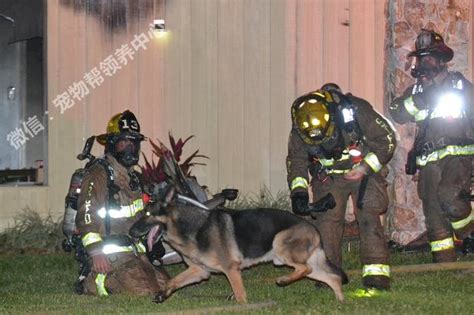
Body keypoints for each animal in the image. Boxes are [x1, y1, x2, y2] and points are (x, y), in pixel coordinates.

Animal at [130, 189, 348, 304]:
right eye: (141, 213)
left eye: (148, 215)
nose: (129, 232)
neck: (189, 227)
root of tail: (313, 227)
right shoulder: (200, 271)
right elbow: (173, 280)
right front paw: (163, 293)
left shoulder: (231, 270)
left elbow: (240, 295)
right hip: (306, 262)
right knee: (331, 278)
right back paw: (340, 301)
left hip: (280, 245)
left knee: (305, 268)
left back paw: (284, 280)